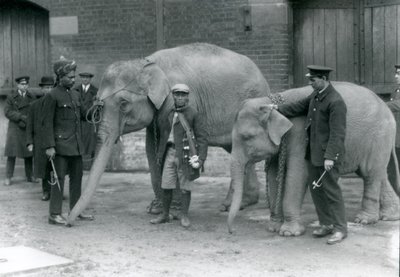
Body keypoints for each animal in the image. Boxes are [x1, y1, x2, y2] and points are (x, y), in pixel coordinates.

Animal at [67, 43, 270, 224]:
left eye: (123, 104)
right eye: (97, 101)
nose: (69, 222)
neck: (147, 63)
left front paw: (174, 212)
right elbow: (152, 149)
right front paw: (155, 209)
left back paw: (235, 205)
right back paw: (240, 203)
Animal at [228, 82, 400, 235]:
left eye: (247, 137)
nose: (232, 232)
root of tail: (387, 108)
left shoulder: (299, 136)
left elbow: (297, 175)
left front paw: (289, 233)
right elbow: (274, 175)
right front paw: (273, 228)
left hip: (378, 137)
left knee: (370, 173)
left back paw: (364, 220)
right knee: (377, 174)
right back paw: (389, 217)